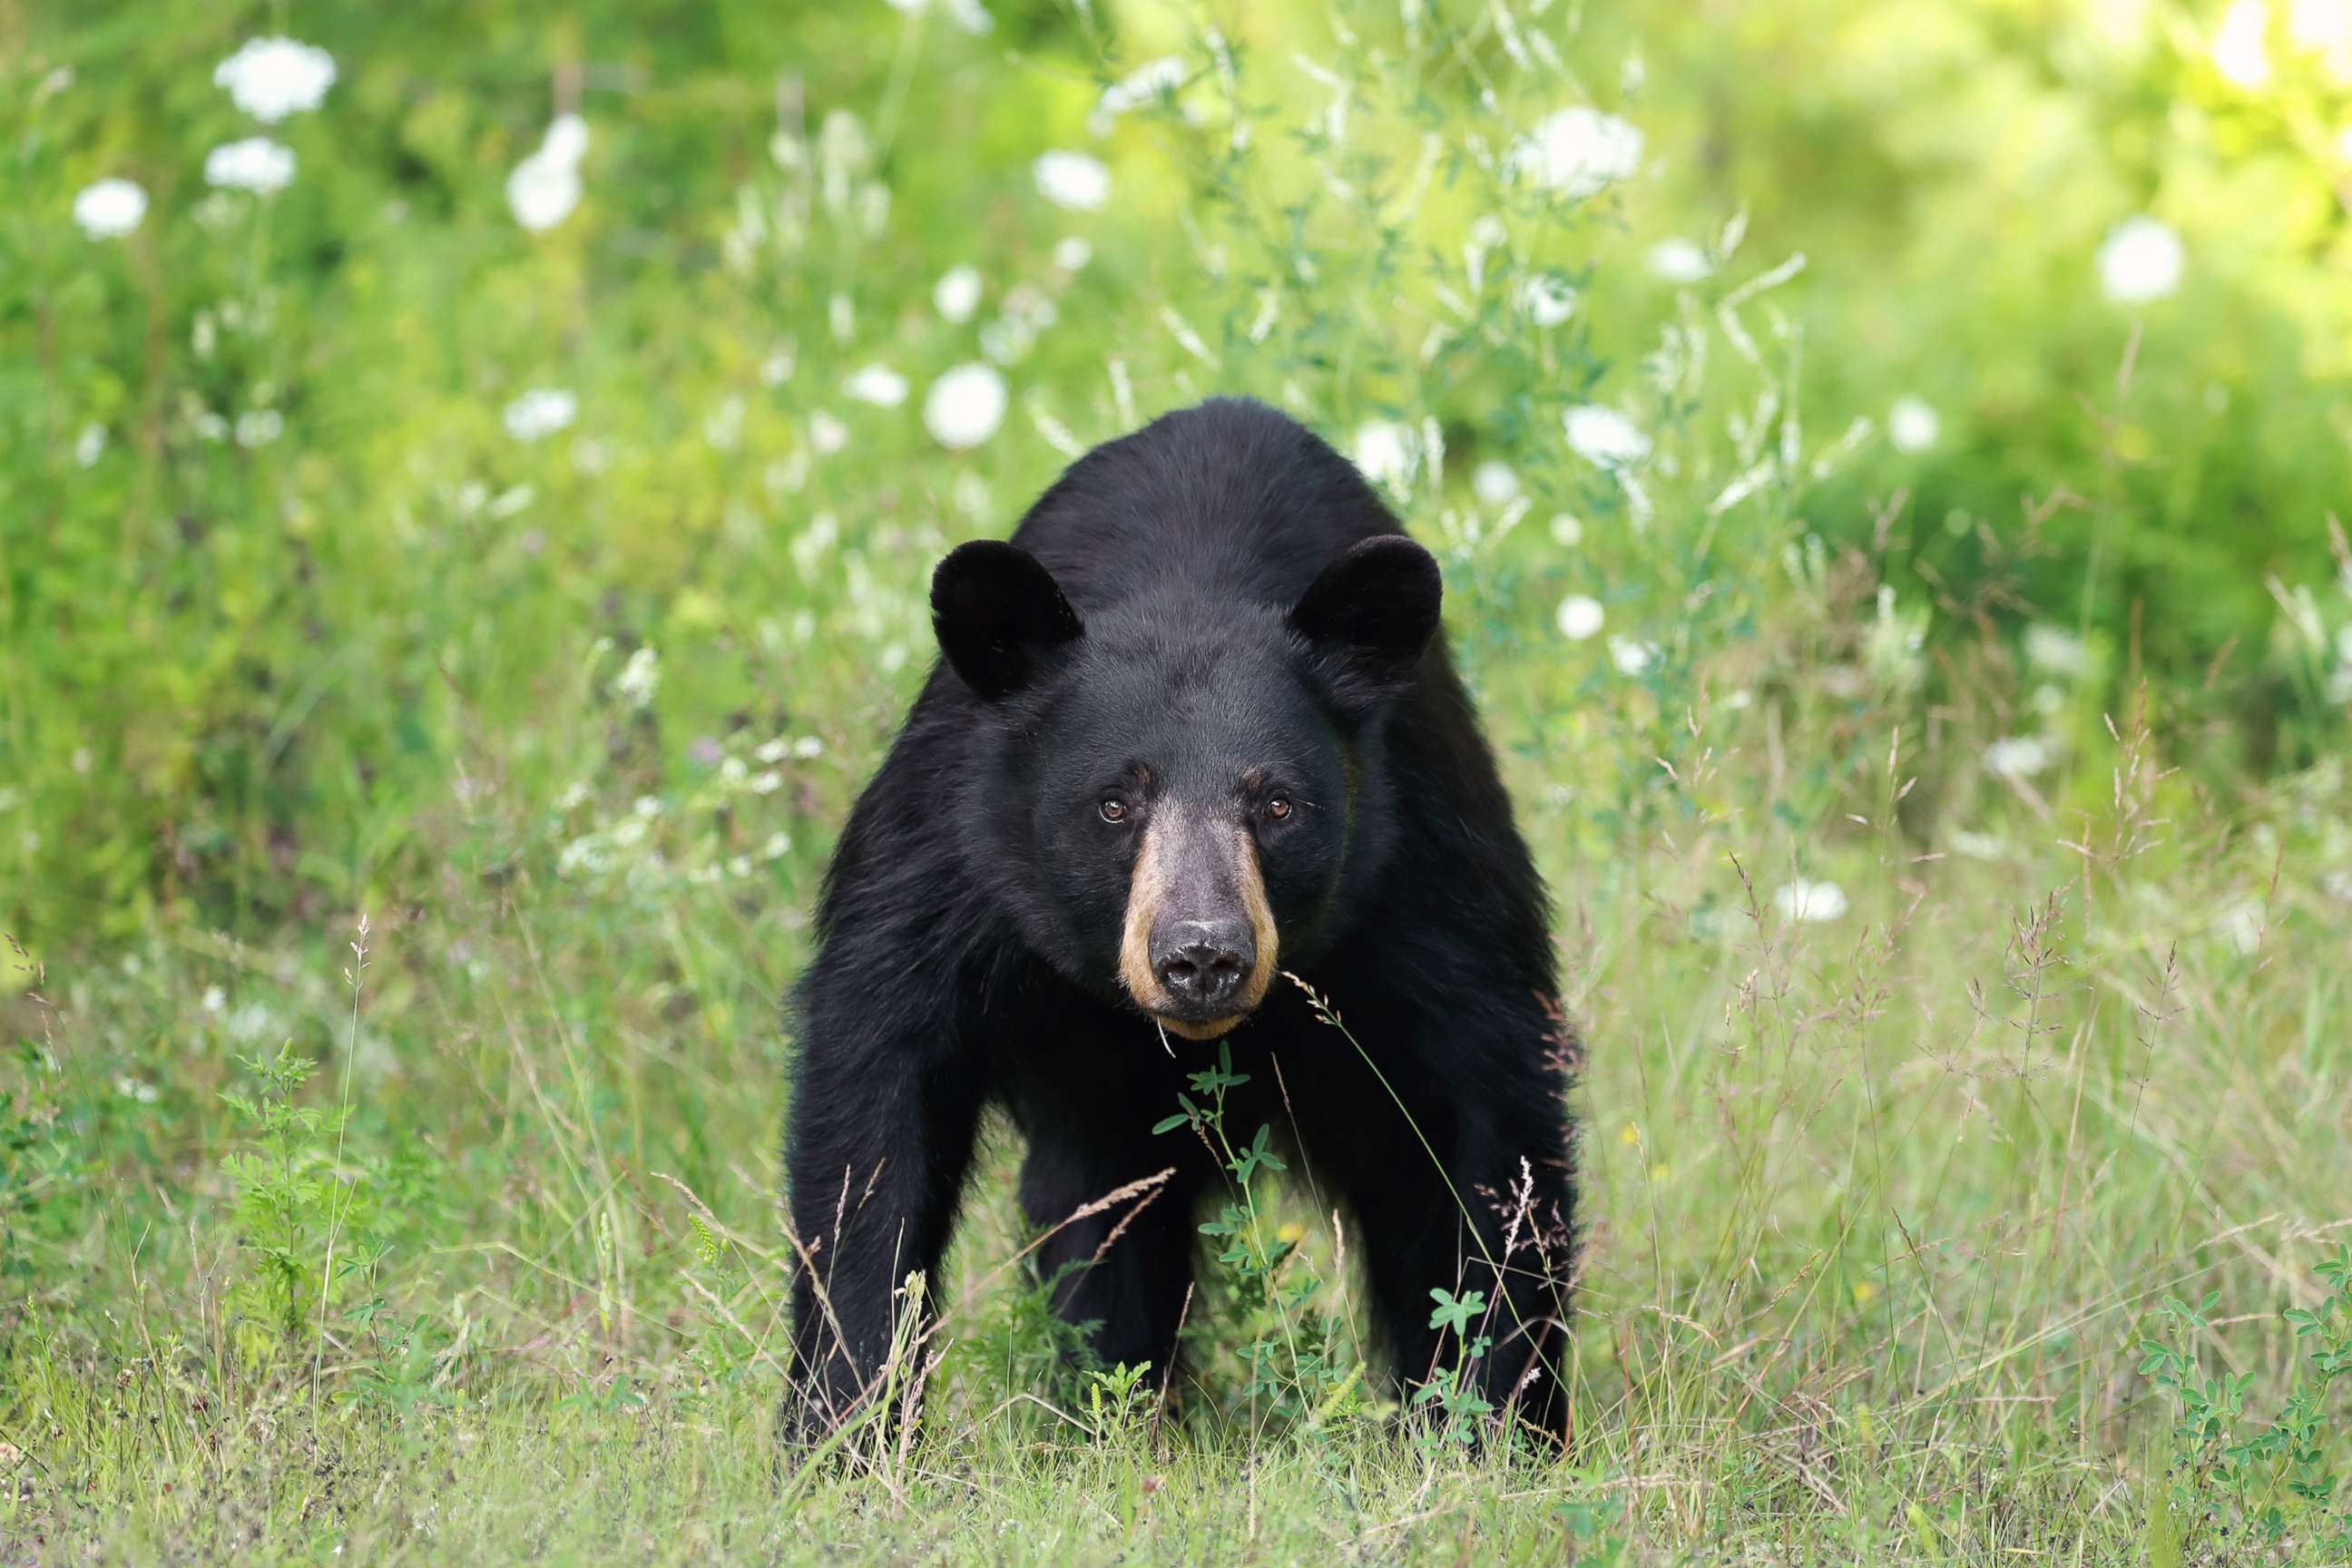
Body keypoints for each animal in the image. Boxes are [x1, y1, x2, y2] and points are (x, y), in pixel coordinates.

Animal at [789, 399, 1580, 1438]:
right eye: (1114, 803)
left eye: (1278, 805)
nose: (1202, 957)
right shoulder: (947, 864)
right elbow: (874, 1123)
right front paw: (838, 1432)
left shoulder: (1421, 875)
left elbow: (1489, 1129)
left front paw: (1494, 1425)